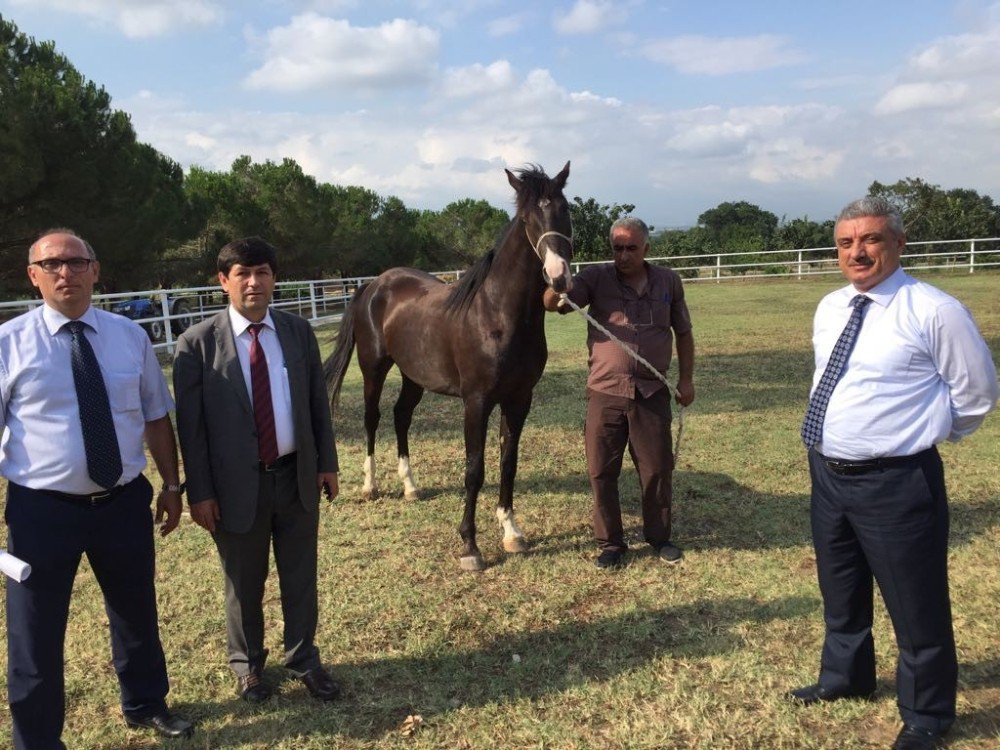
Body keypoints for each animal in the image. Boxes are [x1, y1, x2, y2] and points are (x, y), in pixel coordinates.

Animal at [324, 164, 576, 572]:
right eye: (526, 219)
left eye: (564, 209)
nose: (558, 278)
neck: (497, 314)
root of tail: (373, 285)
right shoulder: (476, 402)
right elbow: (474, 470)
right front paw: (470, 546)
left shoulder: (519, 400)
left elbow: (508, 463)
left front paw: (512, 532)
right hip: (374, 369)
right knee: (372, 419)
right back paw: (370, 486)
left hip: (413, 375)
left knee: (401, 416)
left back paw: (410, 486)